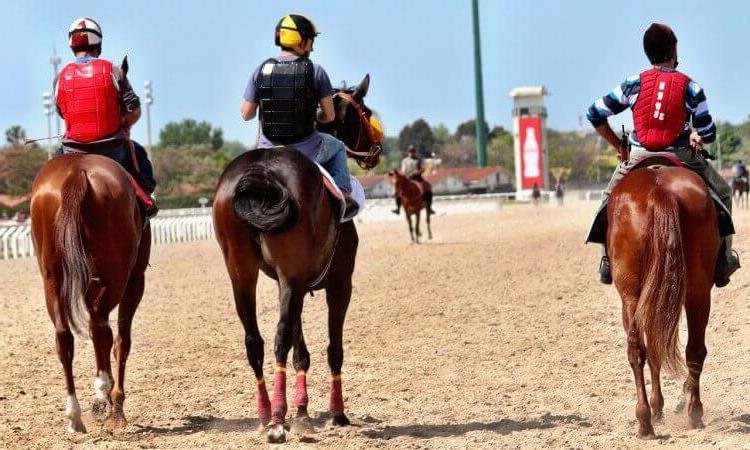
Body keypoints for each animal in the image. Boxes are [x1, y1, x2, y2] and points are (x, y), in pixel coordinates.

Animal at [30, 154, 150, 432]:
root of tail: (77, 171)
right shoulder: (135, 280)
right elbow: (123, 341)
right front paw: (116, 407)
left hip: (52, 278)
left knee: (64, 336)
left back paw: (75, 415)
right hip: (114, 277)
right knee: (101, 328)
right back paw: (103, 394)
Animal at [216, 74, 382, 442]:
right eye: (365, 111)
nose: (377, 150)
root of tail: (261, 174)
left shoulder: (292, 284)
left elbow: (300, 349)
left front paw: (303, 412)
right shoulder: (338, 283)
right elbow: (333, 349)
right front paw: (337, 413)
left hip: (241, 276)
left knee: (255, 341)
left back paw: (266, 414)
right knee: (278, 339)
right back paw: (278, 421)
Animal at [612, 163, 724, 438]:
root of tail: (659, 191)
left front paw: (658, 407)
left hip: (633, 296)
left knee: (640, 350)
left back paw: (648, 420)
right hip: (697, 290)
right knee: (692, 349)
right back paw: (689, 412)